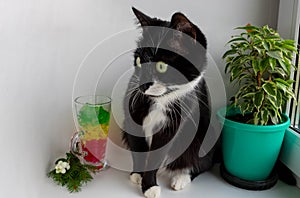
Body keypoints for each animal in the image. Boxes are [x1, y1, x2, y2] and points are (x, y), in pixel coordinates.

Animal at [122, 6, 220, 197]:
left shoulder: (177, 120)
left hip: (208, 132)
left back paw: (181, 177)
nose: (142, 85)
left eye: (162, 66)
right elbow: (137, 144)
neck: (159, 100)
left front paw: (149, 186)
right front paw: (138, 174)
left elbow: (158, 153)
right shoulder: (132, 111)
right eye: (138, 61)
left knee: (203, 163)